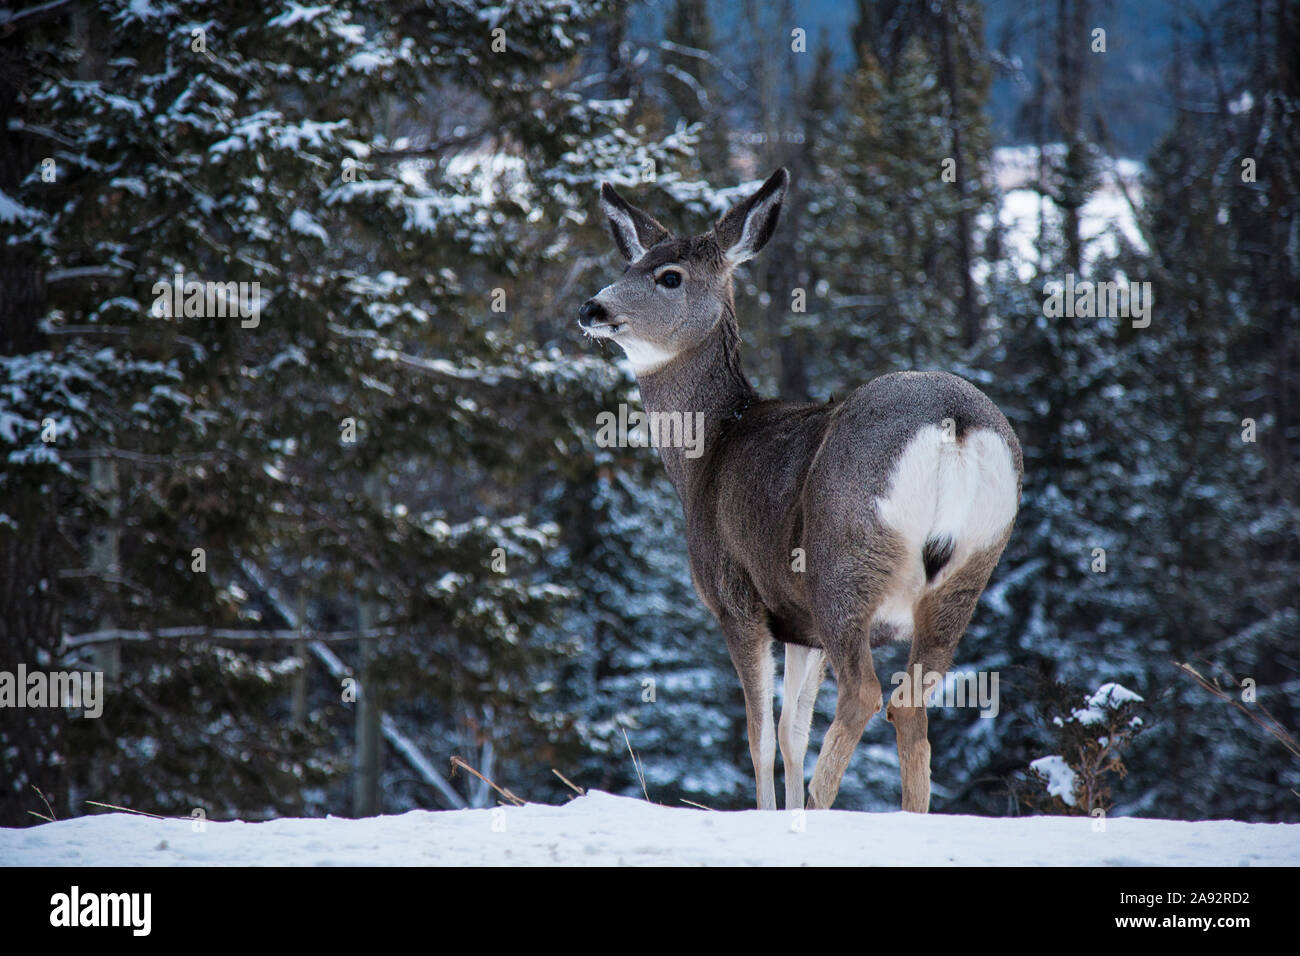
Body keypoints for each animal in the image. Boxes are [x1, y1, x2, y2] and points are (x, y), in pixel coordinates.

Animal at [574, 167, 1019, 811]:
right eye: (631, 263)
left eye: (668, 275)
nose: (592, 307)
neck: (709, 452)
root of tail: (954, 425)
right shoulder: (798, 623)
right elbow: (791, 732)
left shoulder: (738, 597)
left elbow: (760, 735)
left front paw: (767, 813)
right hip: (969, 570)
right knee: (909, 706)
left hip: (844, 559)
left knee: (864, 694)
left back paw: (816, 808)